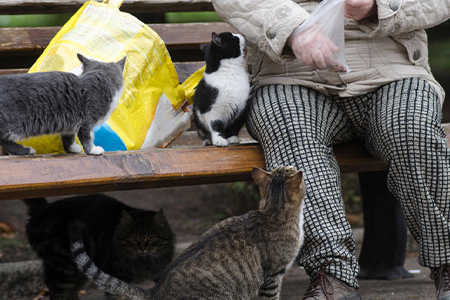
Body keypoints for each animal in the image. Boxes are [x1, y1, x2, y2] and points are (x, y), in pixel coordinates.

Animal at [22, 193, 175, 298]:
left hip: (78, 273)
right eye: (133, 239)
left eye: (151, 238)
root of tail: (42, 212)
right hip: (63, 271)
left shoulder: (161, 274)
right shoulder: (116, 277)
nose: (142, 248)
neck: (145, 262)